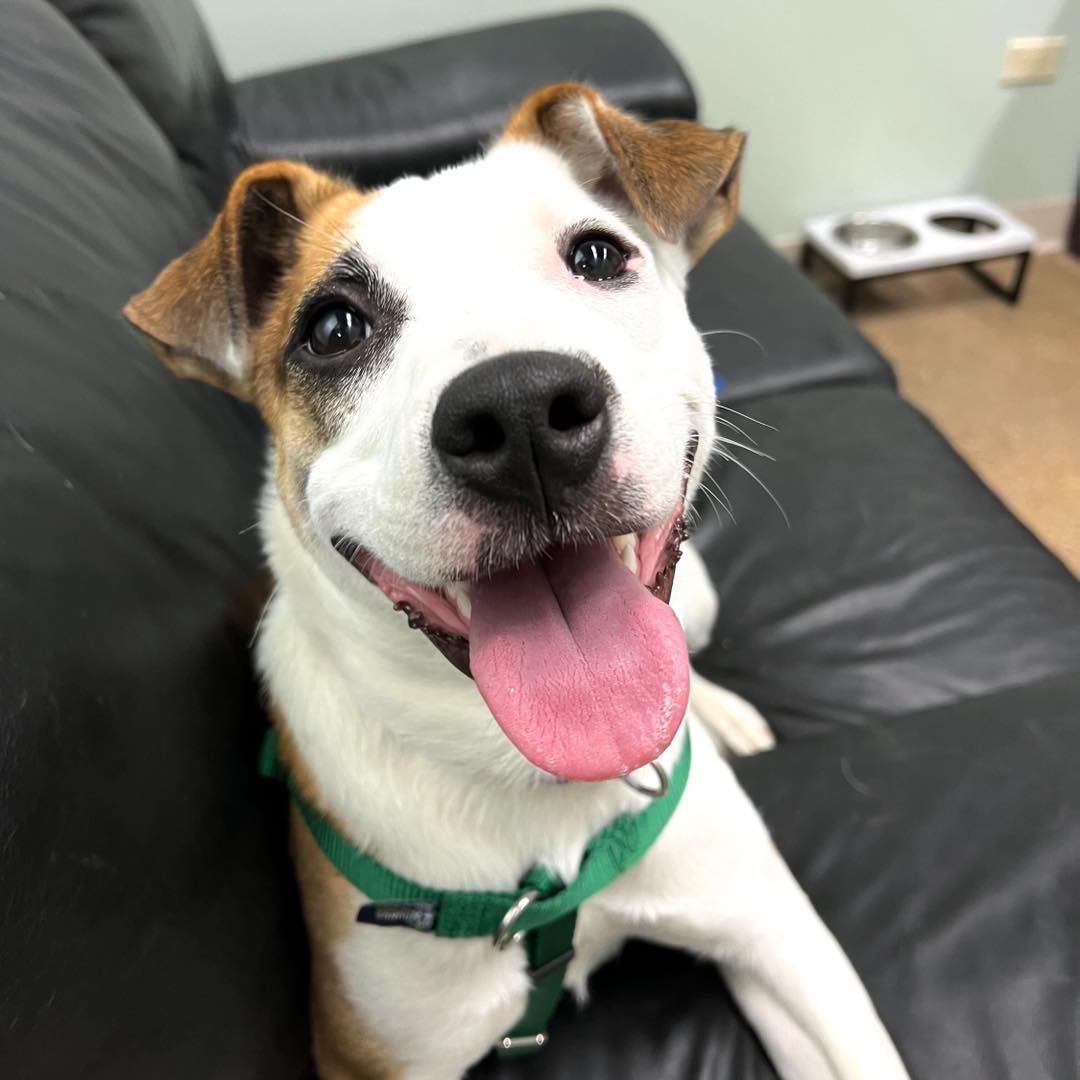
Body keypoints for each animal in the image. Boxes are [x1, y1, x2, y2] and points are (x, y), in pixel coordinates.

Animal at [122, 79, 907, 1075]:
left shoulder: (777, 936)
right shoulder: (374, 1052)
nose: (522, 411)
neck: (537, 786)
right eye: (333, 328)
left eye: (598, 255)